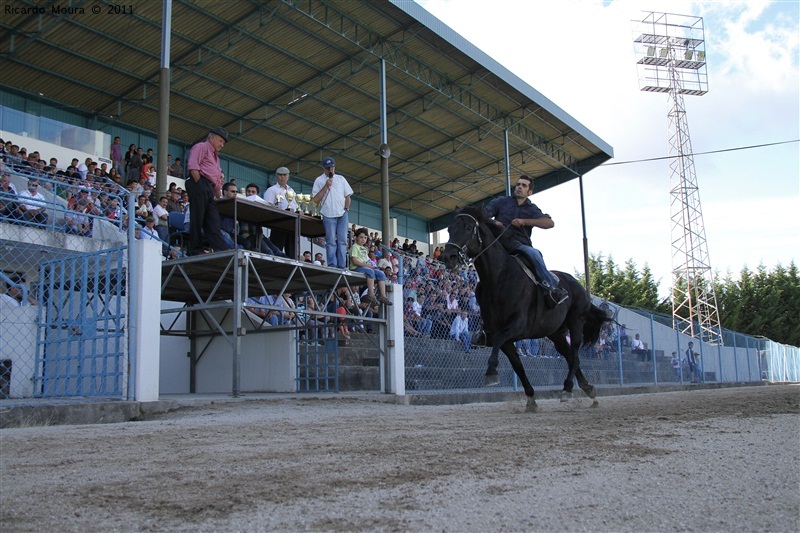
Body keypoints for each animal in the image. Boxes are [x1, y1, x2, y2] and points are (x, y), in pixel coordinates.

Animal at [440, 207, 608, 412]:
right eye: (449, 229)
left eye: (468, 227)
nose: (448, 257)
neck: (499, 278)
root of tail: (578, 286)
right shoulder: (503, 336)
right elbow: (517, 365)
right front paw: (531, 400)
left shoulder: (517, 327)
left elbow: (499, 343)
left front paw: (491, 373)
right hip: (556, 333)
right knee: (569, 356)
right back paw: (588, 390)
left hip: (576, 322)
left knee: (575, 353)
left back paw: (568, 388)